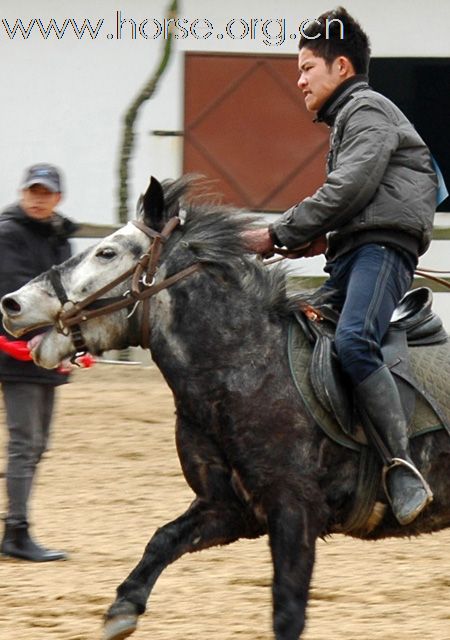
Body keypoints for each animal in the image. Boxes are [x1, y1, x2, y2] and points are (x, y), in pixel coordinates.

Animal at [0, 176, 450, 640]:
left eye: (107, 252)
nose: (13, 304)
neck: (246, 364)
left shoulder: (294, 509)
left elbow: (287, 609)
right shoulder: (230, 507)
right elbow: (163, 540)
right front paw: (122, 609)